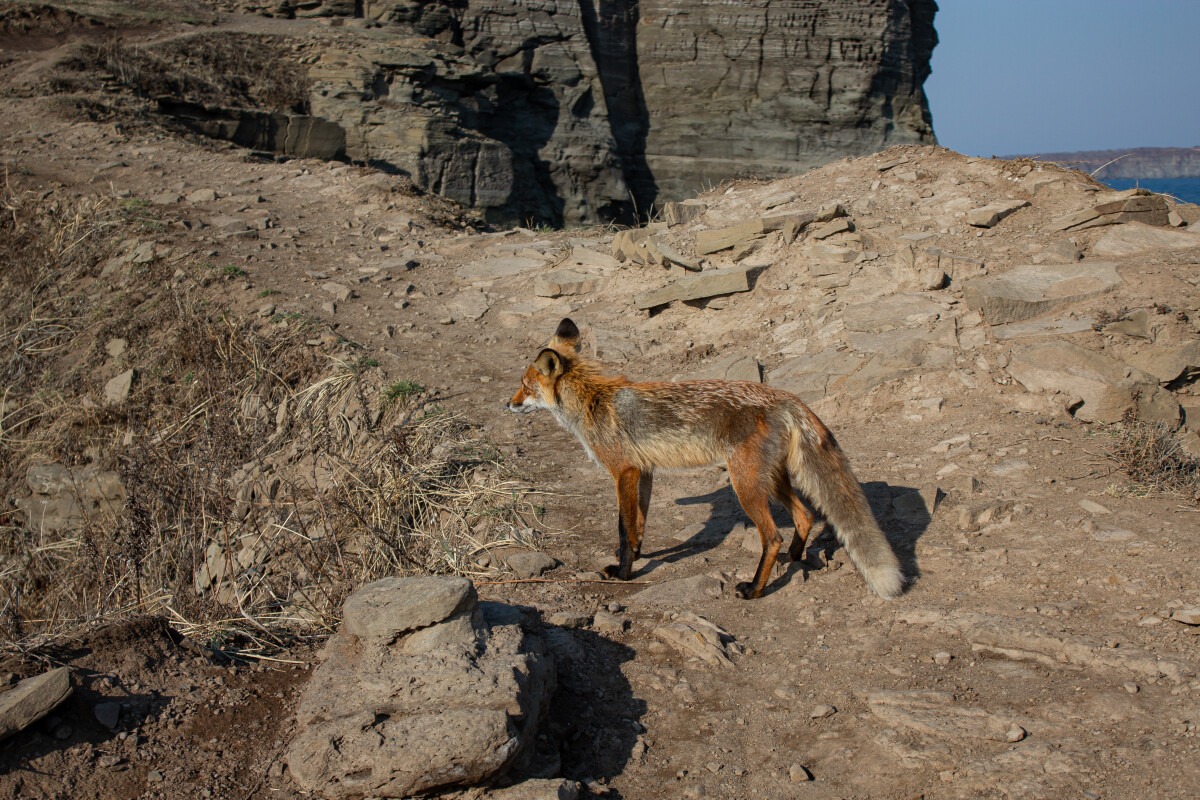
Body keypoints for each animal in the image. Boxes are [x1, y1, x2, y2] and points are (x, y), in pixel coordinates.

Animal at [501, 319, 902, 599]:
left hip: (746, 485)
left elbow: (623, 528)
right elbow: (639, 524)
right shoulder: (644, 471)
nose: (508, 403)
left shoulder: (623, 471)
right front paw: (638, 556)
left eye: (525, 385)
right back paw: (795, 558)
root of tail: (785, 397)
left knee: (772, 536)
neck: (591, 400)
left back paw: (755, 589)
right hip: (770, 479)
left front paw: (624, 573)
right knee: (805, 515)